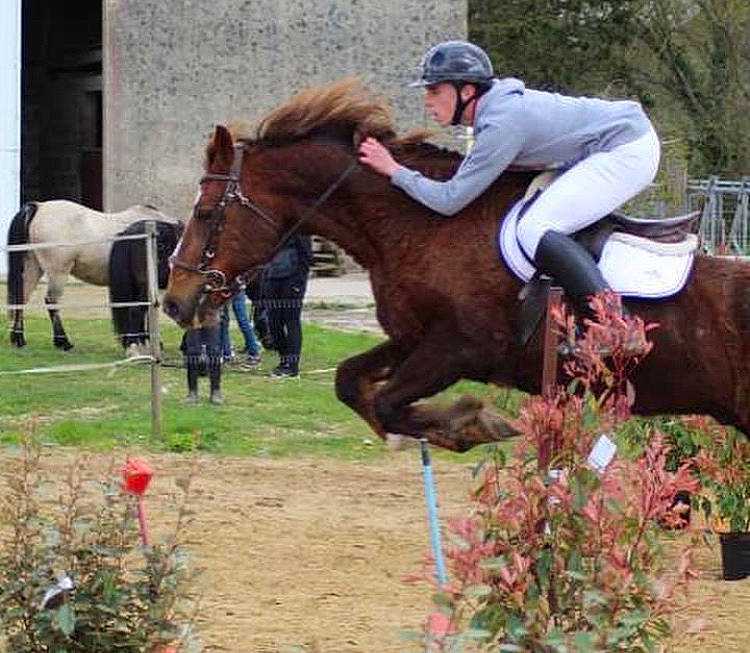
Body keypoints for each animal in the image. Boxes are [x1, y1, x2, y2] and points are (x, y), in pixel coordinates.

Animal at [7, 200, 176, 350]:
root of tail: (40, 207)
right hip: (58, 273)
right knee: (51, 301)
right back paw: (63, 342)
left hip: (33, 267)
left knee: (21, 298)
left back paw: (18, 339)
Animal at [163, 79, 750, 452]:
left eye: (205, 212)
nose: (174, 301)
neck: (418, 225)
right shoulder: (412, 339)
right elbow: (352, 385)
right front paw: (454, 427)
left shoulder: (463, 347)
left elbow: (390, 401)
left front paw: (474, 423)